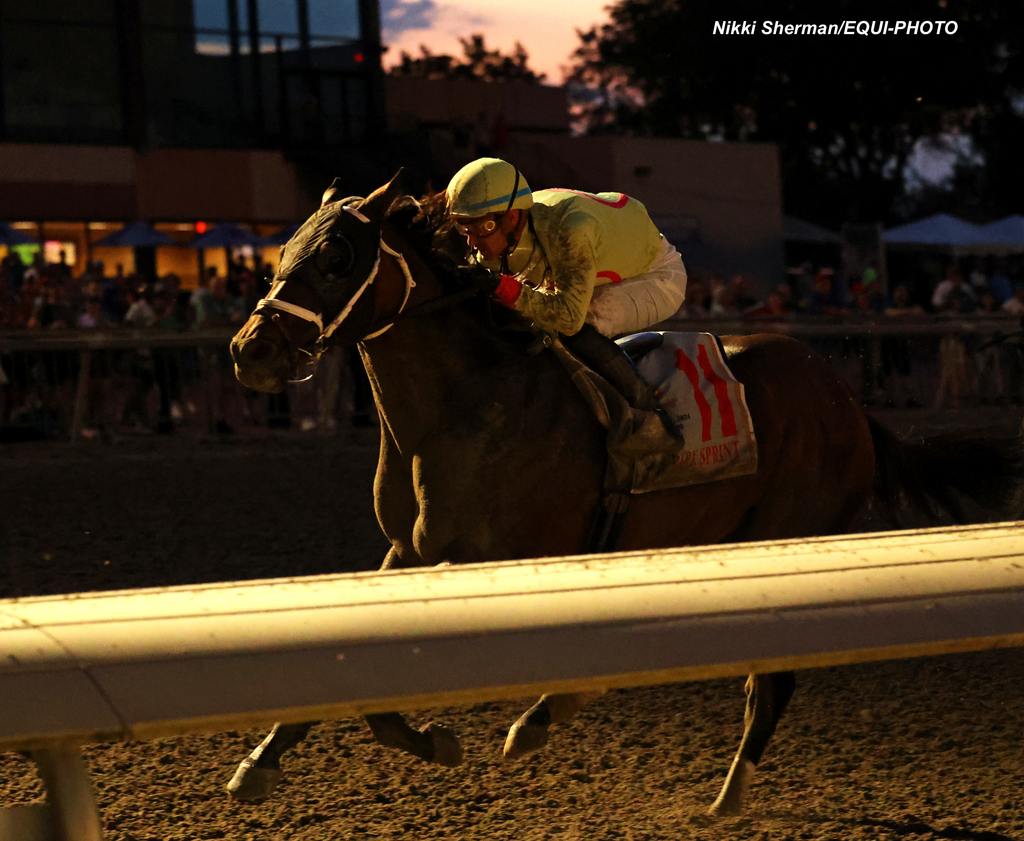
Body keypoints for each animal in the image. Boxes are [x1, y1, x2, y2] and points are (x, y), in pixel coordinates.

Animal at [226, 172, 1024, 815]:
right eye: (285, 248)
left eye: (338, 256)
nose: (249, 350)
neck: (464, 401)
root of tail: (848, 402)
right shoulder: (410, 549)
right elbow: (361, 691)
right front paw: (264, 763)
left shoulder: (486, 554)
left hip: (788, 532)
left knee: (773, 679)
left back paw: (725, 793)